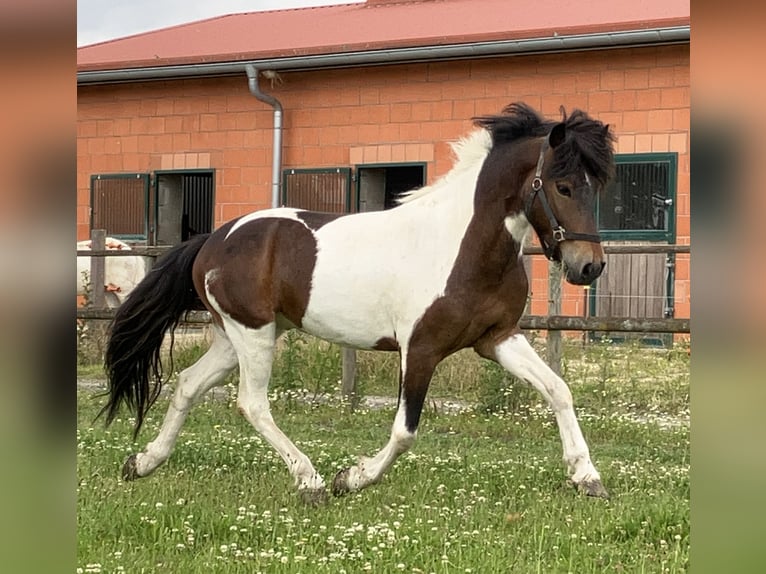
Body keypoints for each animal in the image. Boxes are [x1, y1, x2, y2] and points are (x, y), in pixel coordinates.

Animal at [100, 103, 616, 504]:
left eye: (597, 186)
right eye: (562, 186)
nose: (589, 267)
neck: (462, 244)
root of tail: (213, 238)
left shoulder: (498, 339)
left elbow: (558, 390)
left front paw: (587, 476)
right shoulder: (420, 349)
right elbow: (405, 430)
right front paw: (351, 478)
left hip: (237, 337)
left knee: (188, 384)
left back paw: (141, 463)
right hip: (253, 334)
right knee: (252, 403)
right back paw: (309, 479)